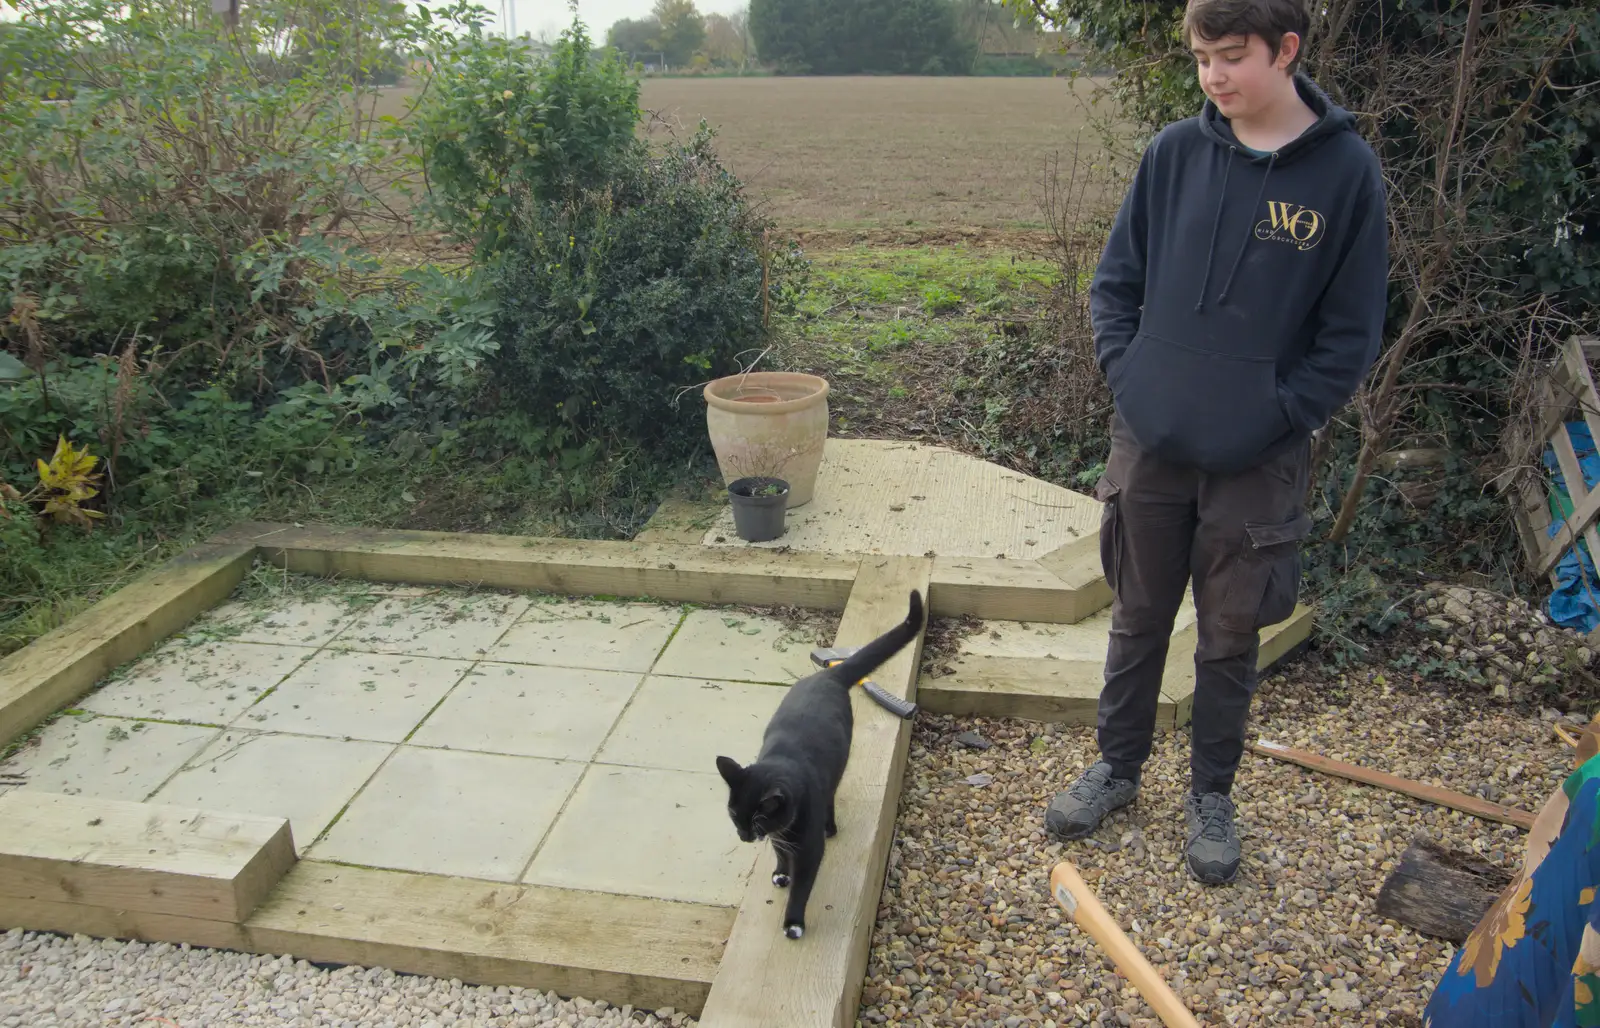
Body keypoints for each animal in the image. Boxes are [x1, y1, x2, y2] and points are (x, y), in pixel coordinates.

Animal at [716, 582, 928, 935]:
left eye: (757, 819)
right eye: (734, 814)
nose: (744, 837)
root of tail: (828, 676)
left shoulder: (809, 849)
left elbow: (803, 887)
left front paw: (793, 923)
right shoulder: (780, 836)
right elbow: (780, 853)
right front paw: (781, 871)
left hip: (837, 768)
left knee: (831, 794)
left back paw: (831, 826)